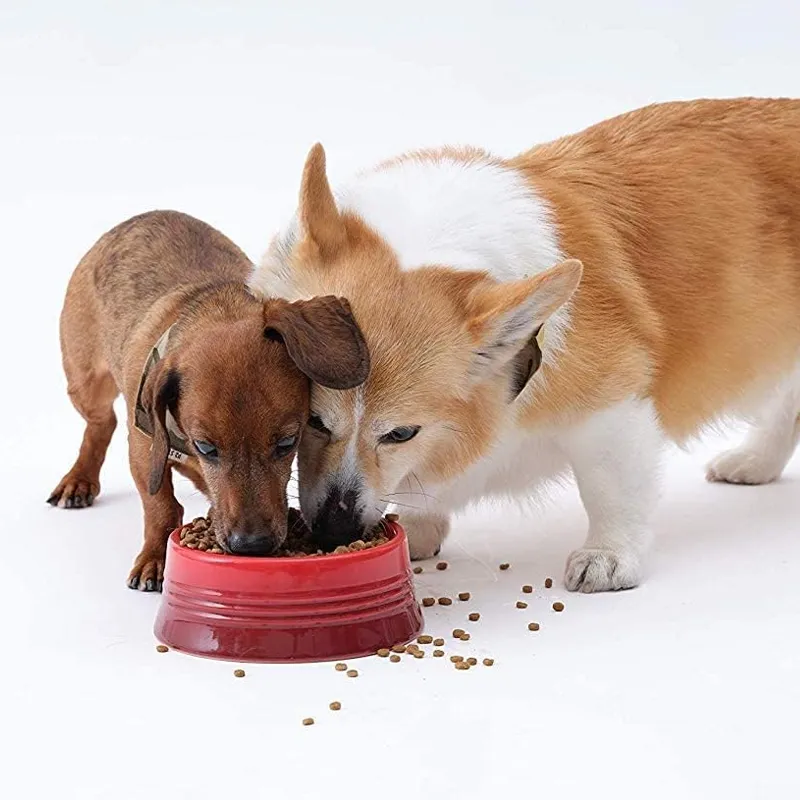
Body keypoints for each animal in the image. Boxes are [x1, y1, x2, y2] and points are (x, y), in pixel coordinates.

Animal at [51, 209, 370, 592]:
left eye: (287, 443)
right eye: (206, 447)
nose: (252, 546)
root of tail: (139, 217)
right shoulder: (145, 448)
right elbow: (161, 505)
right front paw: (155, 558)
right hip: (86, 385)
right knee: (102, 423)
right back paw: (79, 478)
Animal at [250, 97, 800, 592]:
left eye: (401, 433)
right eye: (314, 419)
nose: (332, 531)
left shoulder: (613, 409)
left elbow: (612, 490)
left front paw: (609, 557)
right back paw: (755, 463)